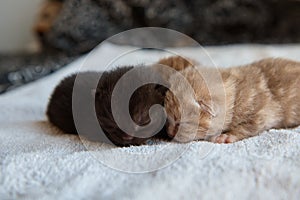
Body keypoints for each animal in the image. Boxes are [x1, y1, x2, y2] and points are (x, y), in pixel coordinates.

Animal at [162, 57, 300, 143]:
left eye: (179, 122)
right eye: (168, 118)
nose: (169, 133)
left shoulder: (262, 111)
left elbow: (249, 126)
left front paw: (226, 135)